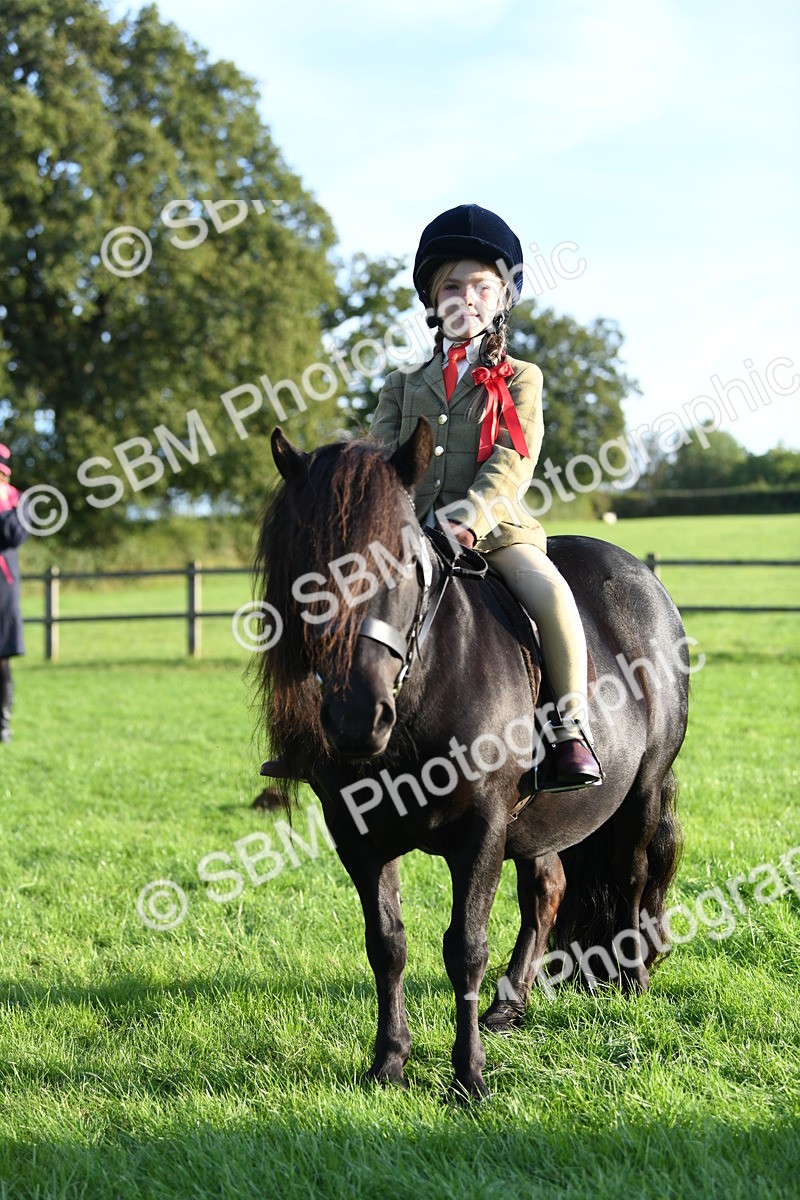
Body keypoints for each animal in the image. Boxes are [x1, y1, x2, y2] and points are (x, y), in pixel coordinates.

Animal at [253, 417, 688, 1100]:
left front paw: (469, 1076)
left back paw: (632, 978)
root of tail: (641, 577)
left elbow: (465, 947)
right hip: (538, 823)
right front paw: (390, 1062)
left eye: (403, 562)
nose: (355, 717)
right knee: (547, 889)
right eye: (303, 568)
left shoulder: (482, 828)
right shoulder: (358, 835)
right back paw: (510, 1004)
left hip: (641, 791)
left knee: (632, 874)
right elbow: (387, 944)